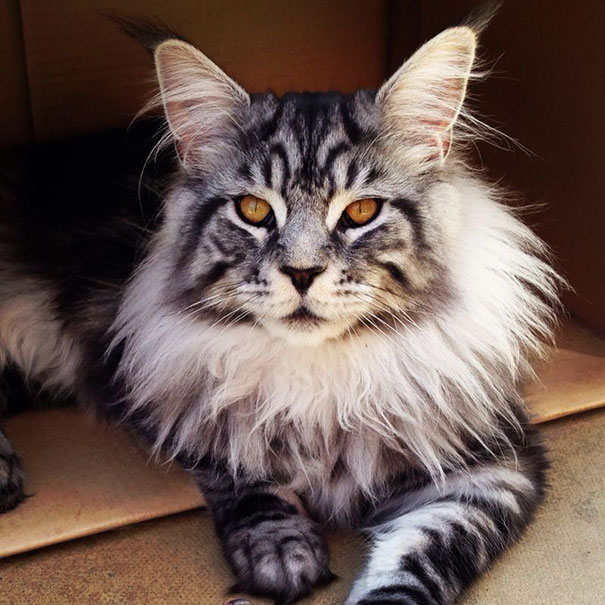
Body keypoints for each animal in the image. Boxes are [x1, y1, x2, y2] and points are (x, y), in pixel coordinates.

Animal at [0, 15, 556, 604]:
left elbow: (419, 561)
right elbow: (248, 476)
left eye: (361, 211)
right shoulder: (178, 395)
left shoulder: (493, 470)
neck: (319, 377)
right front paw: (284, 553)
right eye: (253, 209)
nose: (302, 271)